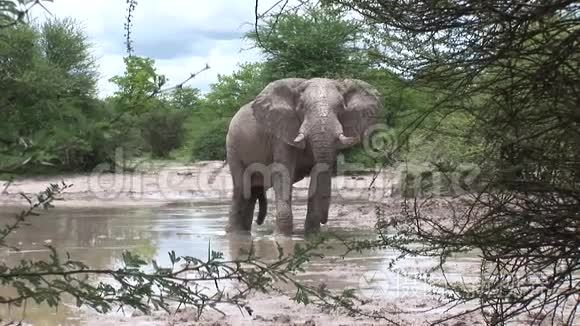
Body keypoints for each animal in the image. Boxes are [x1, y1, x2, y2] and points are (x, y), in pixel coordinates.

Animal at [228, 77, 386, 234]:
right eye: (302, 107)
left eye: (341, 107)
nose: (324, 219)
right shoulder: (280, 133)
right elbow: (283, 172)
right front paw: (282, 237)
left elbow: (319, 171)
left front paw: (312, 235)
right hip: (233, 146)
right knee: (241, 188)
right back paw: (235, 233)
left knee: (252, 191)